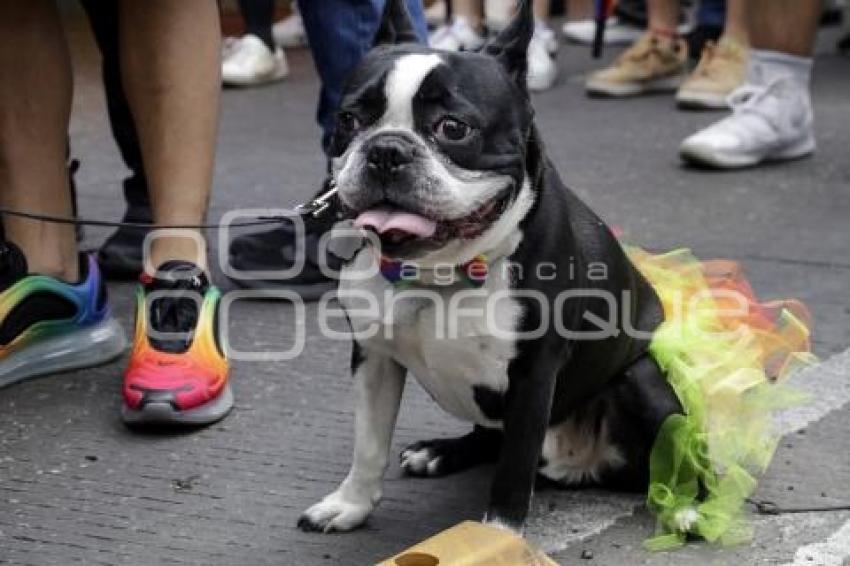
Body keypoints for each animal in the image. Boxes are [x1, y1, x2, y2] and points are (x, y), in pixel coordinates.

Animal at [298, 0, 684, 536]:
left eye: (453, 128)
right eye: (350, 119)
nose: (386, 150)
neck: (438, 273)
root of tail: (577, 466)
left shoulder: (532, 376)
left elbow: (512, 470)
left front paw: (497, 537)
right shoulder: (372, 356)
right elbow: (368, 443)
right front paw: (350, 504)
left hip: (640, 380)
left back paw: (686, 505)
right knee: (488, 438)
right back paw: (439, 452)